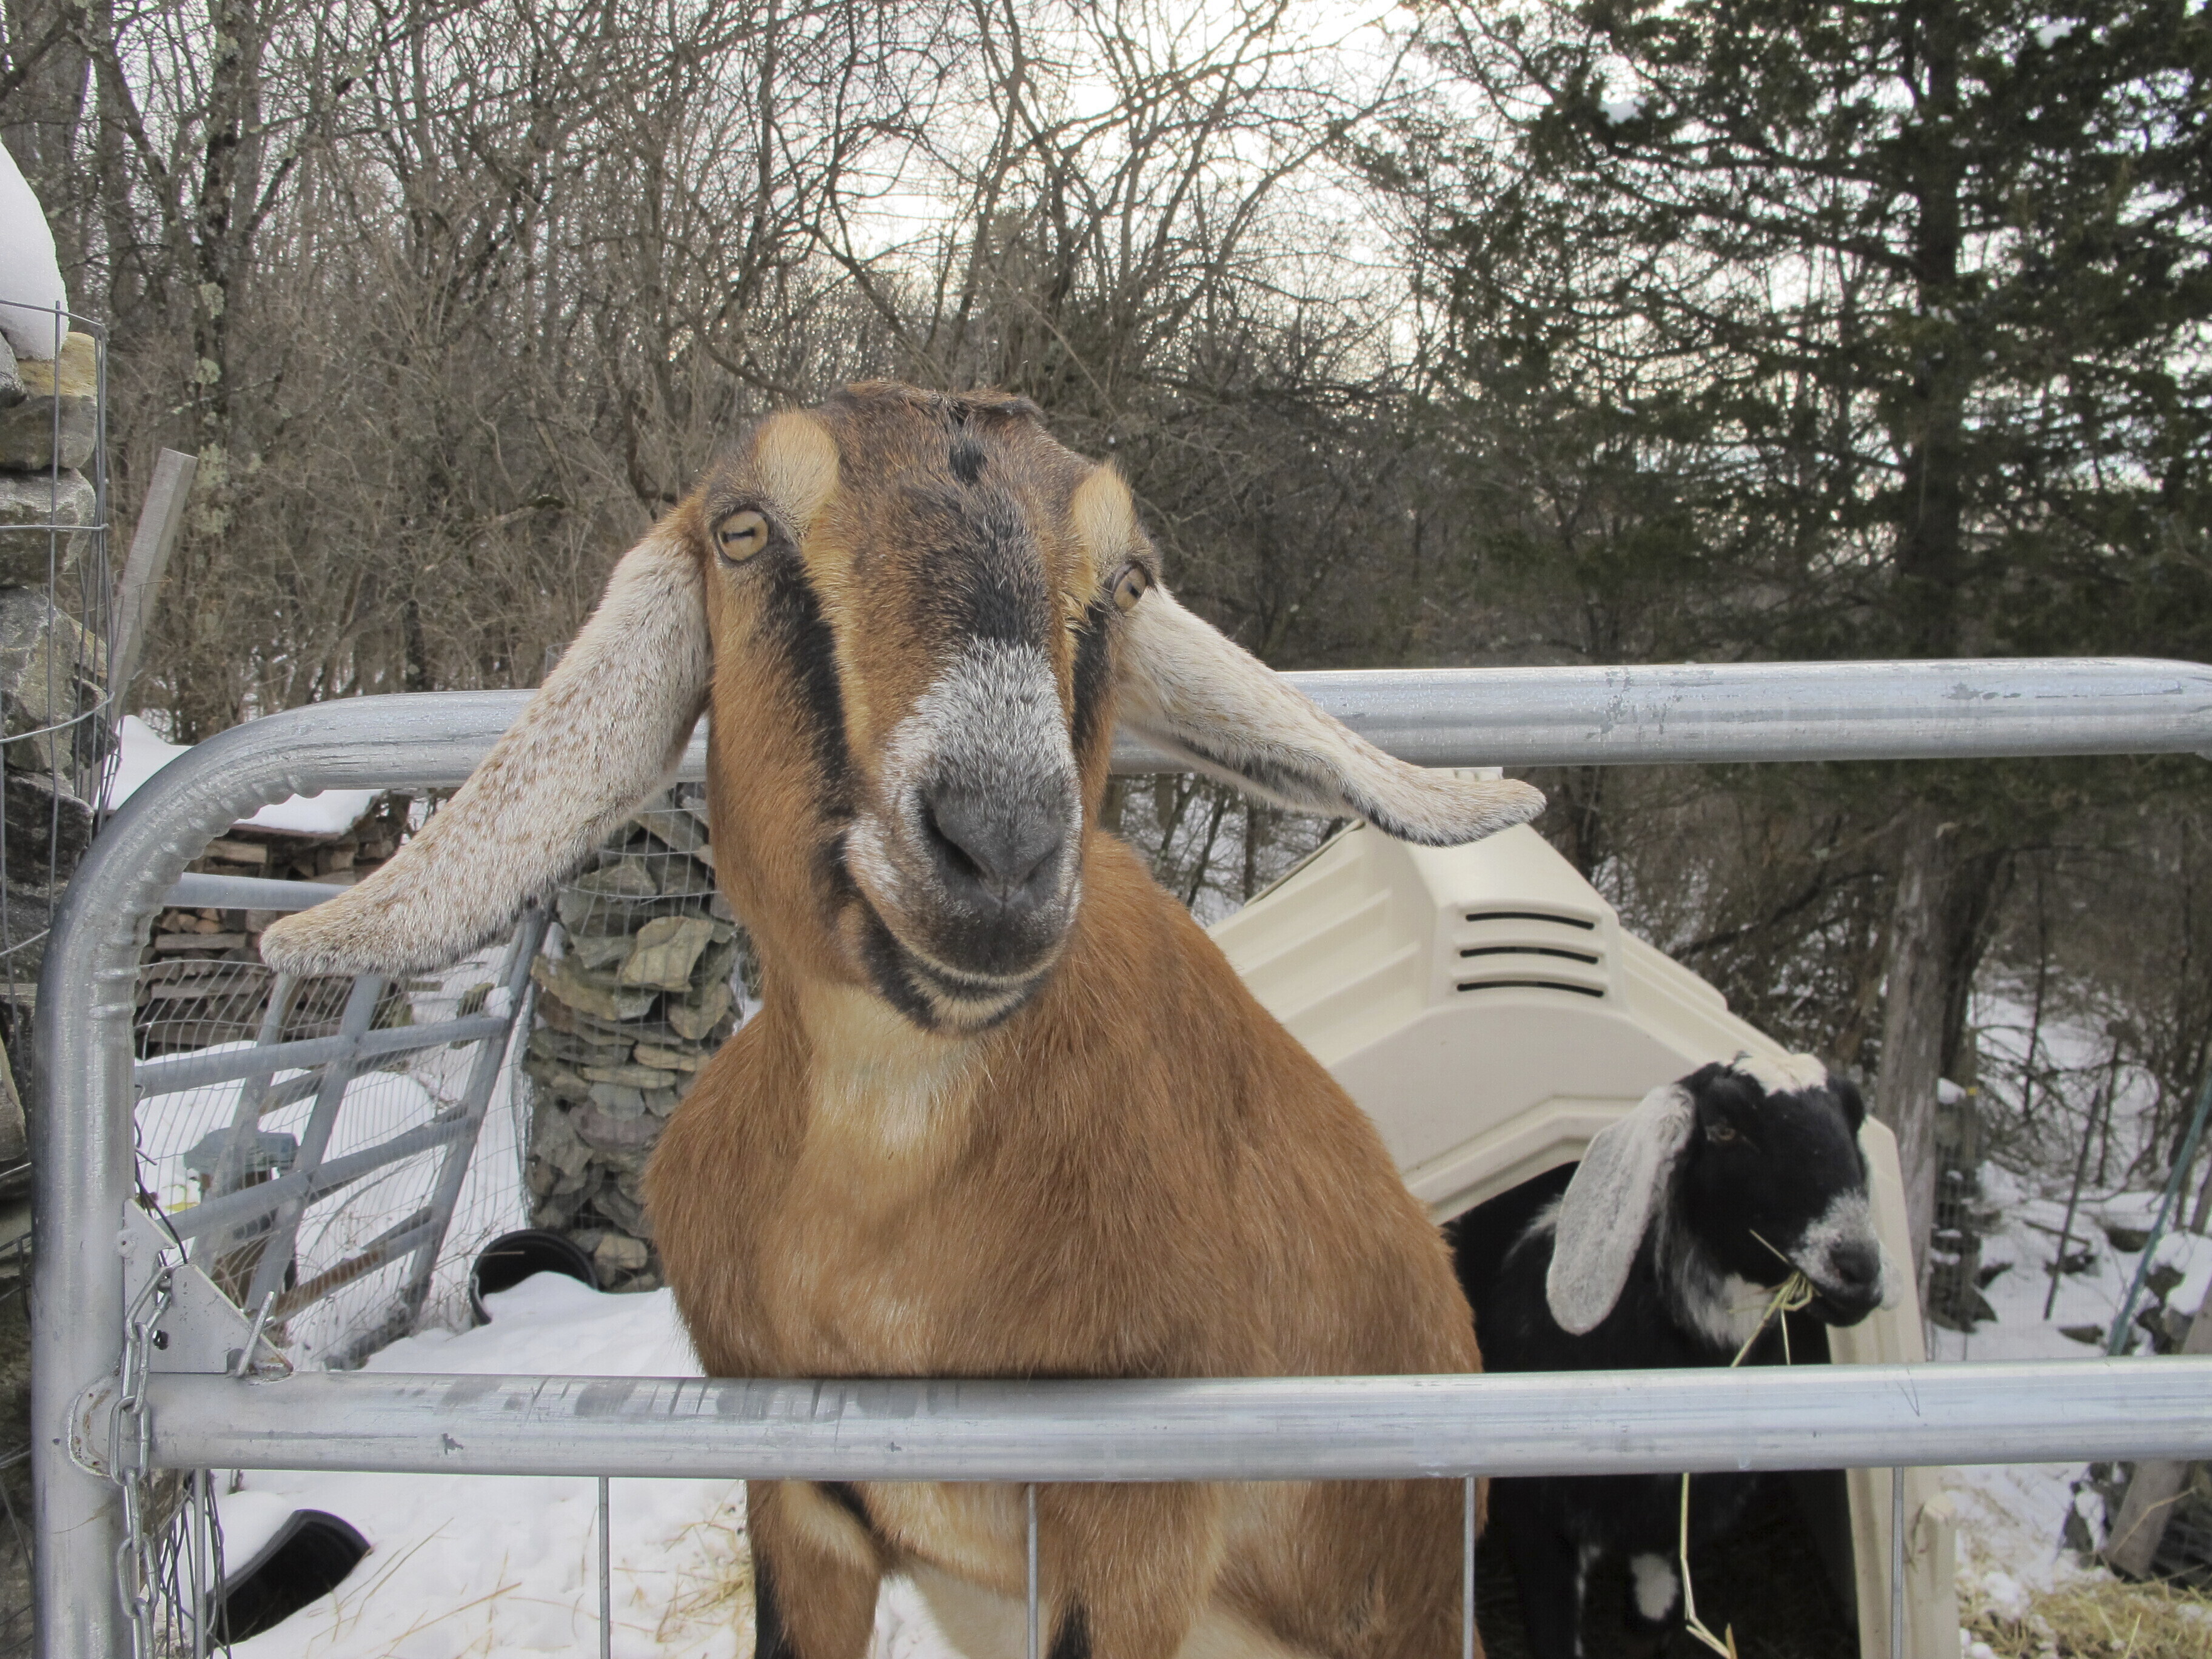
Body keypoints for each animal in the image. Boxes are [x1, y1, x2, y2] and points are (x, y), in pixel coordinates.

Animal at [263, 384, 1545, 1659]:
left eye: (1127, 579)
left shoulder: (1142, 1523)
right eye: (743, 531)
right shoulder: (798, 1495)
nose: (1002, 848)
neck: (876, 1199)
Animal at [1447, 1058, 1894, 1659]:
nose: (1858, 1267)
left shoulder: (1673, 1527)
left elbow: (1653, 1616)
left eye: (1854, 1116)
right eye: (1724, 1127)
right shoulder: (1538, 1522)